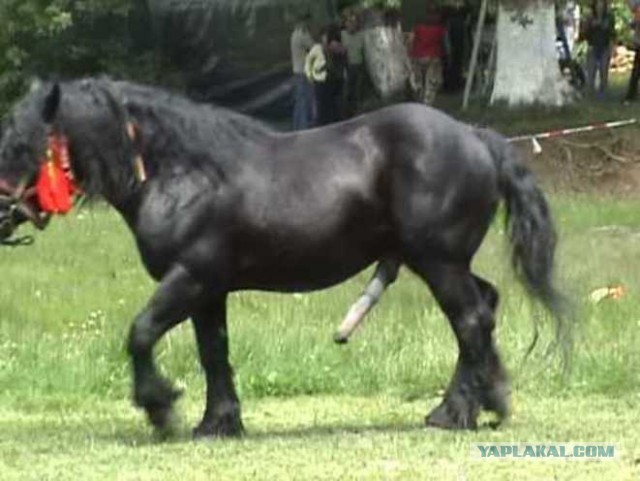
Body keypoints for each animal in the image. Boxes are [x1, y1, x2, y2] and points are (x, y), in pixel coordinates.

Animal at [0, 78, 568, 437]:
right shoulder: (209, 290)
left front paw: (161, 408)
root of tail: (475, 136)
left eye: (20, 145)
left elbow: (141, 333)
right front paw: (219, 423)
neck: (180, 173)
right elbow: (214, 352)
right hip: (442, 261)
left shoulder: (190, 278)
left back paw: (452, 413)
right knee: (486, 307)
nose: (3, 215)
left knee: (471, 320)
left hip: (439, 262)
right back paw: (490, 399)